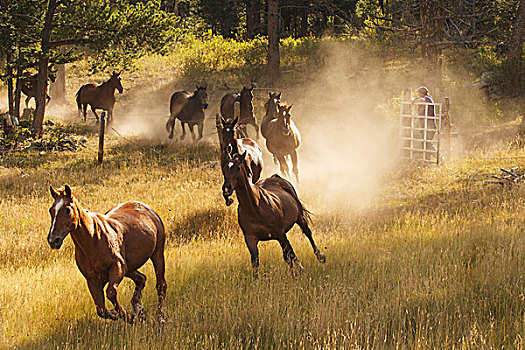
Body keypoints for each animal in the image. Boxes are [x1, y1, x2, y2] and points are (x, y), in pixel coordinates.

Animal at [47, 185, 167, 324]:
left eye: (67, 210)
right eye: (51, 210)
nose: (53, 240)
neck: (93, 240)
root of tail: (147, 209)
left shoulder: (117, 268)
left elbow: (110, 293)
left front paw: (128, 315)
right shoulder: (93, 280)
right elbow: (101, 310)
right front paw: (130, 315)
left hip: (157, 254)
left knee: (161, 286)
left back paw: (160, 318)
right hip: (129, 268)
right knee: (141, 278)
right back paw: (139, 310)